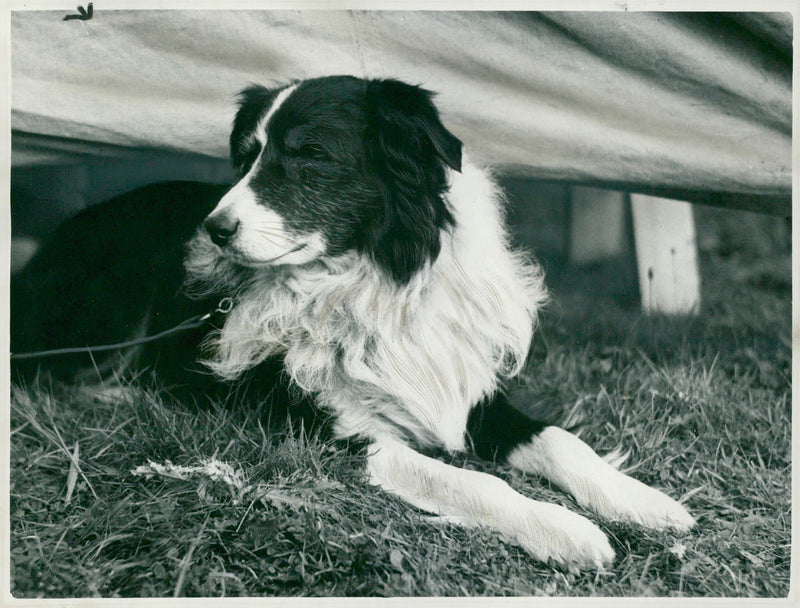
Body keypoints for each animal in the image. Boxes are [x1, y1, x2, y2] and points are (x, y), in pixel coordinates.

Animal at [9, 76, 692, 568]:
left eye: (310, 155)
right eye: (246, 159)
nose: (213, 229)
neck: (372, 284)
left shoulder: (468, 395)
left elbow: (562, 440)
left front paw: (644, 502)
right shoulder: (344, 434)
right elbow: (477, 484)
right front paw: (564, 530)